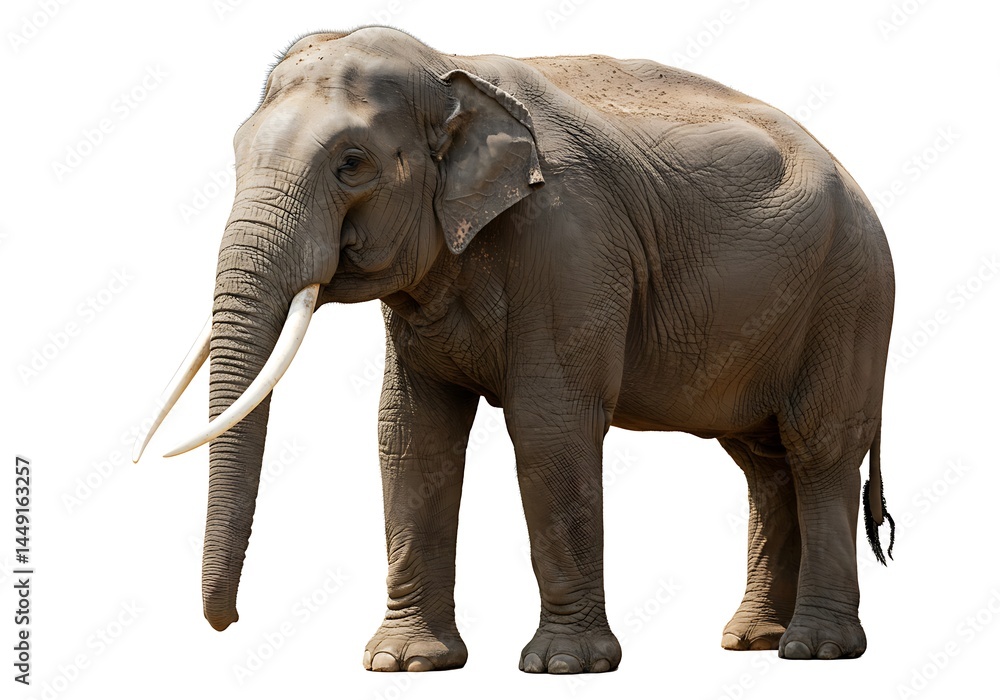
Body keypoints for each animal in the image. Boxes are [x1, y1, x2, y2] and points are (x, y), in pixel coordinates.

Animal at [133, 26, 895, 673]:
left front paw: (563, 665)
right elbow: (410, 433)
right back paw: (750, 641)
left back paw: (815, 650)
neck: (449, 65)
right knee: (764, 463)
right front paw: (406, 663)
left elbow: (548, 423)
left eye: (352, 164)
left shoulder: (569, 243)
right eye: (236, 154)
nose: (228, 623)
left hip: (851, 295)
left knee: (818, 448)